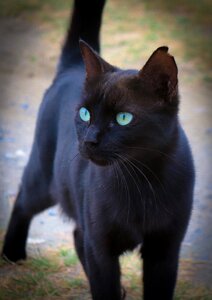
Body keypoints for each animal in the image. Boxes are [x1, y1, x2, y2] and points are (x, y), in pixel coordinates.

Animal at [1, 1, 195, 298]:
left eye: (123, 118)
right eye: (85, 113)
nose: (89, 140)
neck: (140, 182)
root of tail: (72, 68)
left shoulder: (164, 250)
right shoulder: (101, 246)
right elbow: (104, 287)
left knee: (76, 235)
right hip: (45, 179)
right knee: (23, 199)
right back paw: (11, 253)